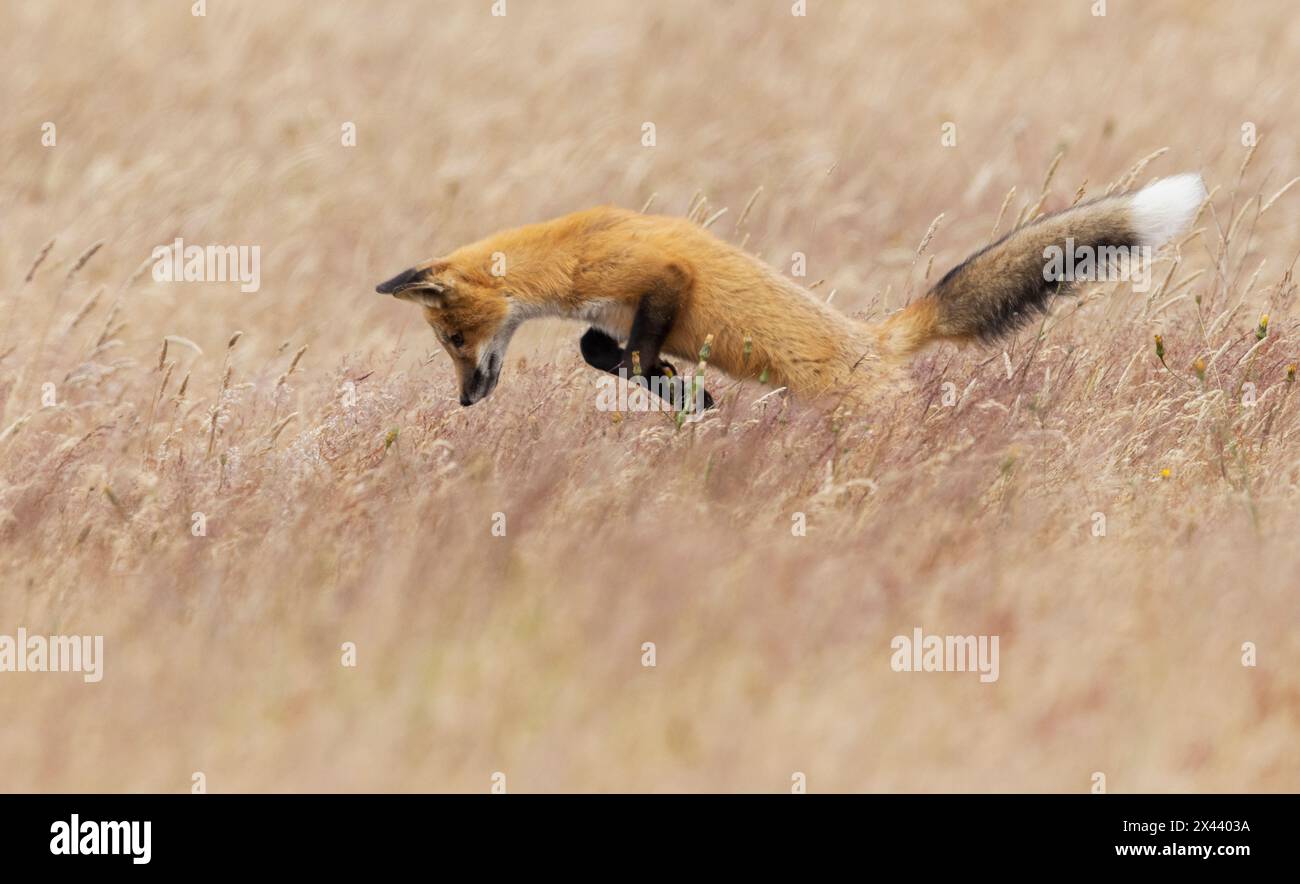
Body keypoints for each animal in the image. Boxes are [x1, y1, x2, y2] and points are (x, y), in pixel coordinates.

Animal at [376, 172, 1206, 410]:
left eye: (455, 341)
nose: (466, 402)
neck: (568, 258)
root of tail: (881, 340)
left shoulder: (658, 276)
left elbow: (627, 350)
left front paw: (678, 390)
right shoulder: (613, 311)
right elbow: (596, 348)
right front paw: (679, 389)